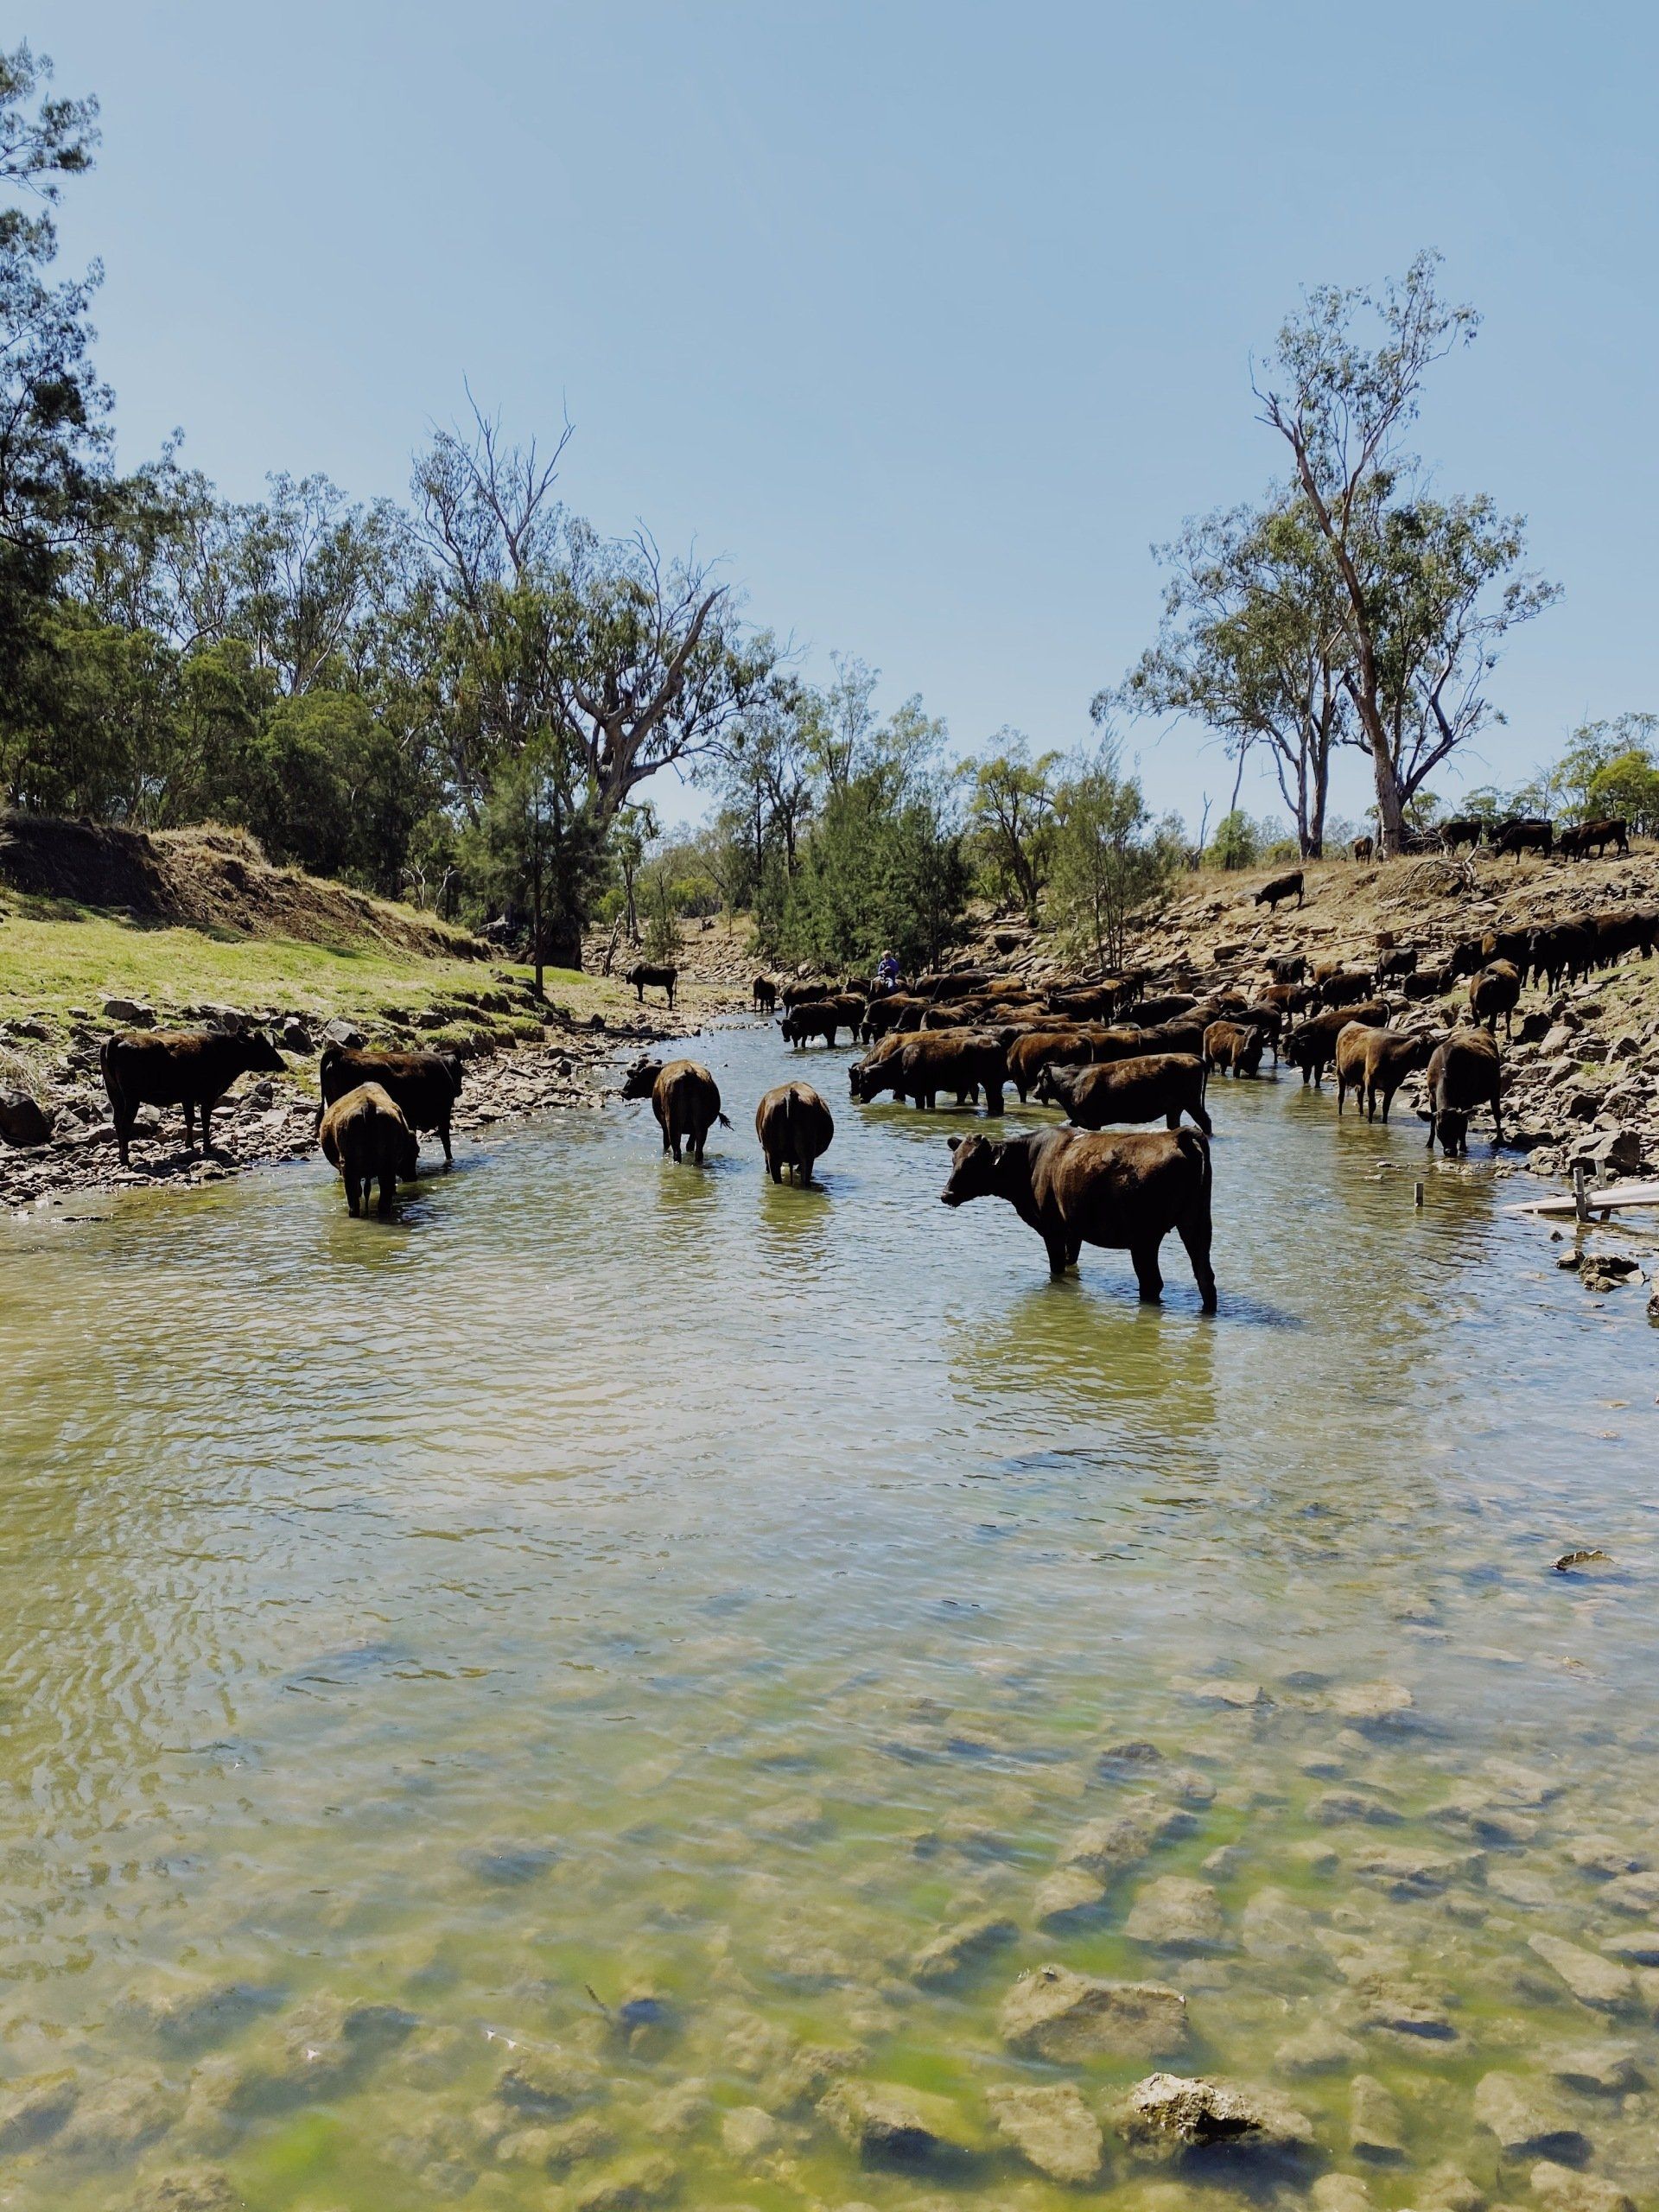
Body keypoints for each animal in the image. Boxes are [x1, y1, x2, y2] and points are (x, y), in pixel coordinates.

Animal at [100, 1026, 287, 1166]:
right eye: (264, 1047)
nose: (283, 1064)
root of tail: (116, 1038)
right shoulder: (209, 1095)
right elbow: (205, 1120)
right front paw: (208, 1146)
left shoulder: (187, 1097)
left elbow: (190, 1119)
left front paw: (189, 1145)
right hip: (132, 1097)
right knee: (125, 1124)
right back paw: (125, 1159)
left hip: (115, 1094)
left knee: (117, 1122)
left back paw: (121, 1156)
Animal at [319, 1045, 464, 1166]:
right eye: (460, 1070)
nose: (460, 1091)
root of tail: (341, 1051)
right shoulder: (443, 1112)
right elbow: (446, 1140)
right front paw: (450, 1160)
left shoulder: (412, 1119)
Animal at [940, 1125, 1216, 1309]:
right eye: (954, 1159)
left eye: (972, 1162)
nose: (946, 1194)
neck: (1031, 1159)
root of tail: (1176, 1134)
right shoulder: (1074, 1230)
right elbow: (1071, 1260)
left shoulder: (1052, 1229)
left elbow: (1057, 1267)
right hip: (1197, 1224)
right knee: (1205, 1277)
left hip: (1145, 1239)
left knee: (1152, 1283)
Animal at [1035, 1053, 1212, 1134]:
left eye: (1039, 1077)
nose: (1035, 1092)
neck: (1074, 1082)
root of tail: (1189, 1055)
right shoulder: (1080, 1119)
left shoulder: (1092, 1121)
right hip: (1175, 1109)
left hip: (1192, 1103)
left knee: (1205, 1121)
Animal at [1424, 1028, 1503, 1155]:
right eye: (1440, 1128)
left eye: (1456, 1127)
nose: (1450, 1151)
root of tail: (1482, 1029)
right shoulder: (1432, 1096)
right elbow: (1431, 1123)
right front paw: (1428, 1145)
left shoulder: (1467, 1099)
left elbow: (1465, 1124)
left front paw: (1463, 1148)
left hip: (1496, 1089)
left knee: (1497, 1114)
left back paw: (1499, 1139)